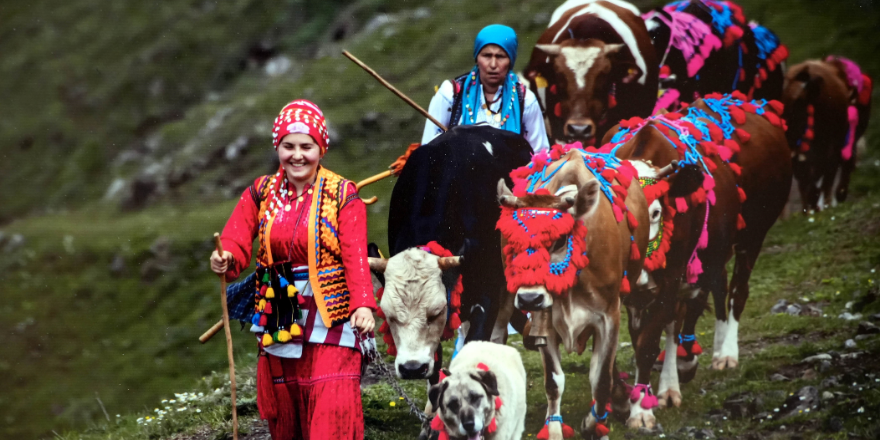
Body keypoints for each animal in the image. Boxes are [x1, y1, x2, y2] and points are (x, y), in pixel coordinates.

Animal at [496, 143, 652, 438]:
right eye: (512, 241)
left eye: (559, 240)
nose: (529, 298)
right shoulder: (543, 318)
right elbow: (553, 381)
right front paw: (554, 428)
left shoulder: (609, 314)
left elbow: (600, 377)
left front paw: (595, 423)